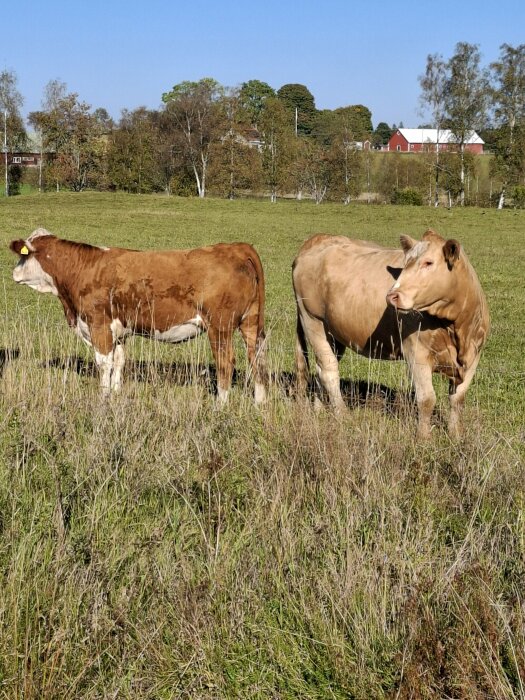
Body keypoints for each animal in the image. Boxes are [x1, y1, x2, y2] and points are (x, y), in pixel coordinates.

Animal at [10, 228, 266, 402]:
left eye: (25, 255)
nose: (13, 274)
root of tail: (236, 247)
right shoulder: (119, 330)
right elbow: (119, 361)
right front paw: (115, 393)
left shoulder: (98, 325)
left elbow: (104, 363)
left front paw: (103, 398)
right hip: (251, 322)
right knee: (257, 358)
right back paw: (259, 403)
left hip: (219, 327)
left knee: (226, 363)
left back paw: (220, 405)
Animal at [292, 230, 490, 438]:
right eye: (406, 262)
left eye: (428, 262)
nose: (392, 295)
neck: (457, 327)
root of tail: (318, 239)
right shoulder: (416, 353)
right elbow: (427, 399)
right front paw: (423, 438)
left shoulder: (474, 356)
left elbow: (457, 399)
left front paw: (456, 435)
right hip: (312, 321)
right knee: (329, 371)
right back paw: (343, 415)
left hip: (334, 333)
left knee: (320, 369)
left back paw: (319, 410)